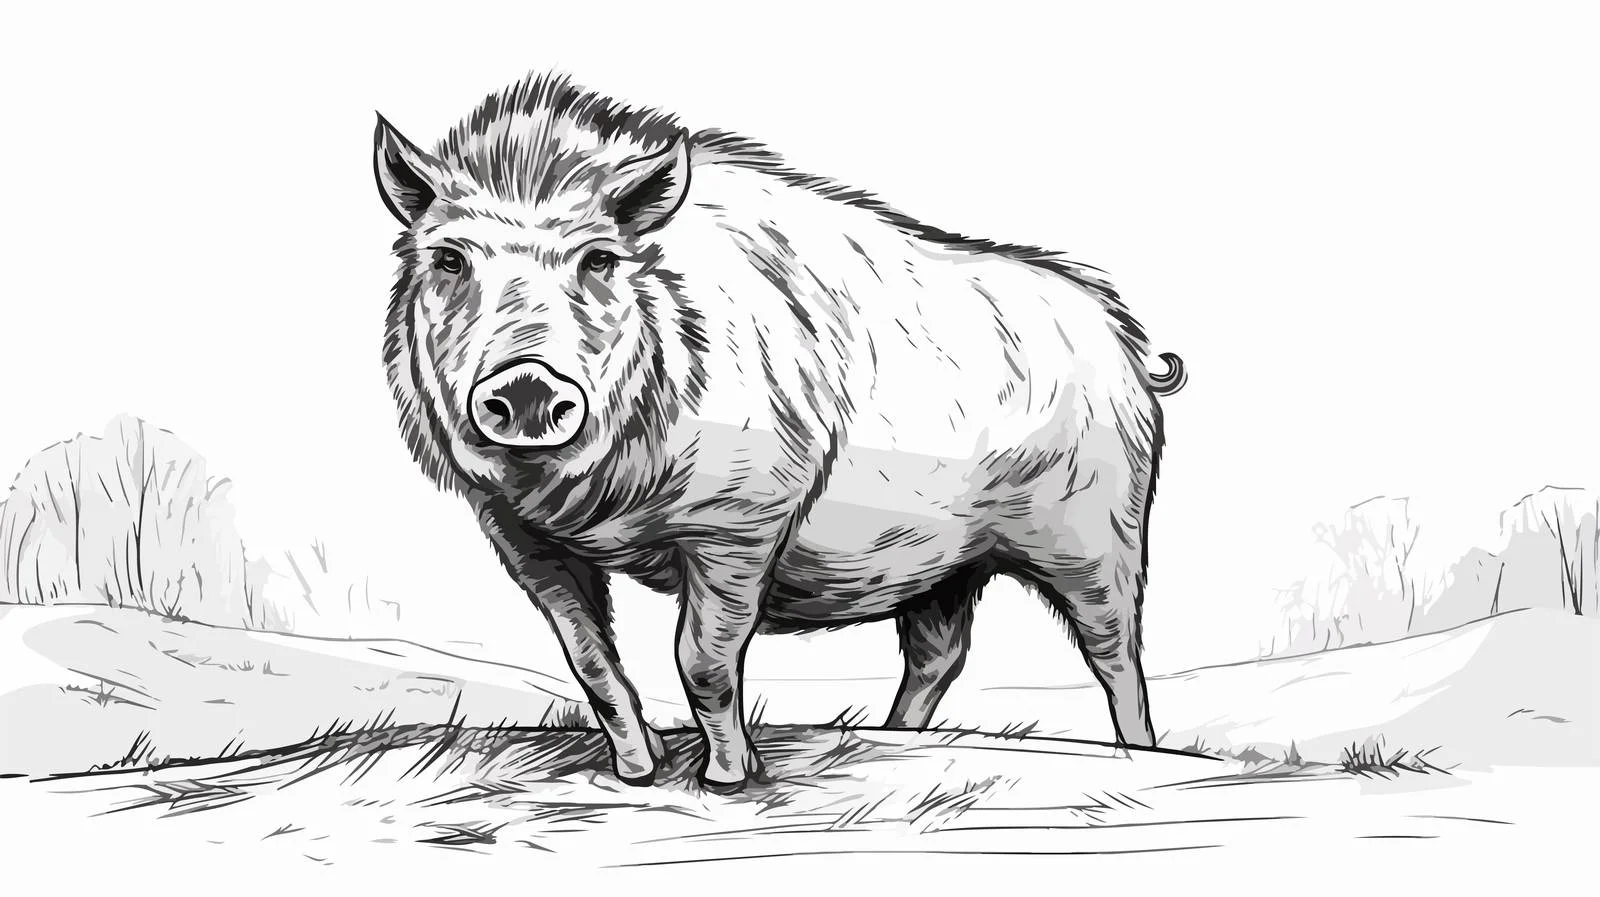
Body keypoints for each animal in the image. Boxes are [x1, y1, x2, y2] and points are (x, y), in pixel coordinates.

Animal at [373, 71, 1187, 792]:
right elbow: (592, 661)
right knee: (939, 654)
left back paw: (1145, 754)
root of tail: (1131, 351)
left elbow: (701, 656)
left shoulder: (742, 519)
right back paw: (893, 736)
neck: (594, 499)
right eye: (447, 258)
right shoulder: (518, 534)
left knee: (1116, 651)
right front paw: (638, 774)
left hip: (1099, 530)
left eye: (600, 258)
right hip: (951, 564)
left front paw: (728, 780)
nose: (528, 388)